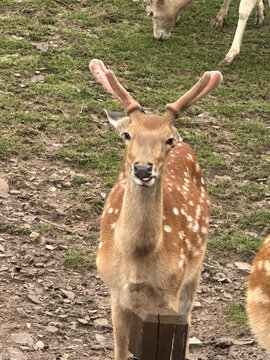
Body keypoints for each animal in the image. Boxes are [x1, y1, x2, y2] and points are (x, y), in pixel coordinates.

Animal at [89, 59, 223, 360]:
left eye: (167, 140)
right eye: (127, 134)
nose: (142, 168)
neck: (138, 256)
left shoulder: (169, 291)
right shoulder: (116, 292)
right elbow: (120, 351)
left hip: (194, 270)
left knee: (189, 323)